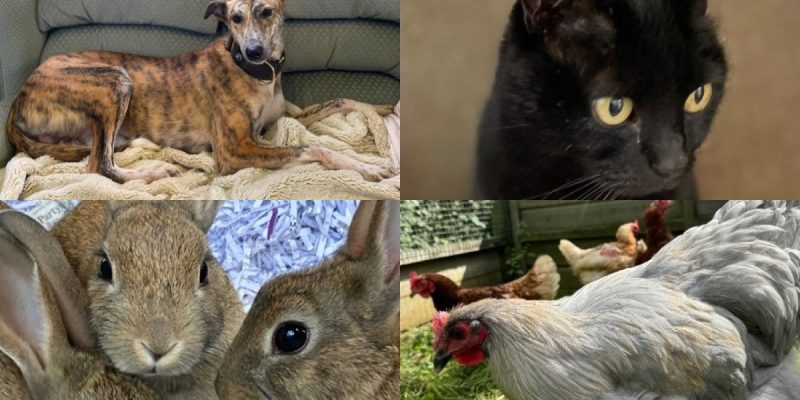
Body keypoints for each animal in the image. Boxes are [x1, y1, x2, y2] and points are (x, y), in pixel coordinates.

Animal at [5, 0, 394, 183]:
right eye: (235, 18)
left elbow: (340, 101)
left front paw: (383, 110)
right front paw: (366, 168)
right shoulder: (233, 150)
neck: (255, 73)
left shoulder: (279, 120)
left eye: (266, 12)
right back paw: (154, 174)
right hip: (116, 79)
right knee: (98, 166)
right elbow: (312, 147)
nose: (254, 51)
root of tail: (19, 95)